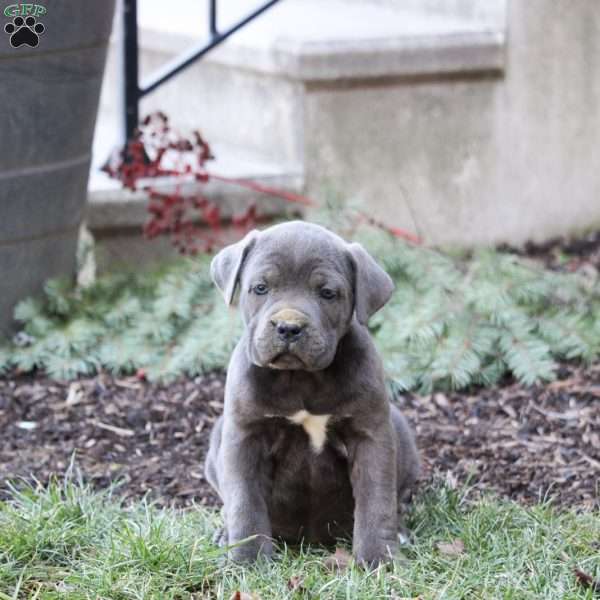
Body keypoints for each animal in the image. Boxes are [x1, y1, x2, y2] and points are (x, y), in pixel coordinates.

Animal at [204, 221, 420, 568]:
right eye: (260, 288)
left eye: (327, 293)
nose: (288, 327)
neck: (301, 380)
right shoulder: (243, 437)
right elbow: (244, 503)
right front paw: (247, 561)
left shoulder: (371, 435)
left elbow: (376, 499)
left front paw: (378, 559)